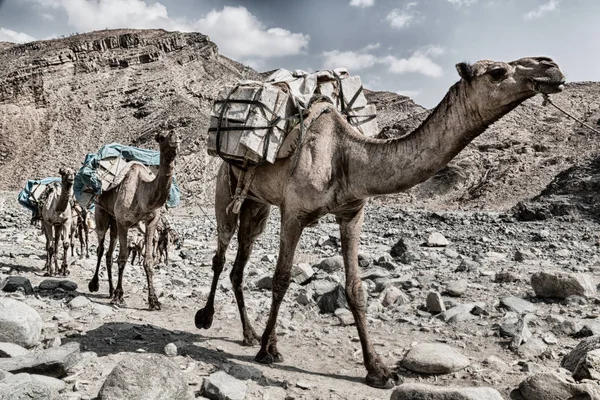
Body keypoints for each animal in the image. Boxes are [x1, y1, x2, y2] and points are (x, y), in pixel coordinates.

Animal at [88, 131, 179, 310]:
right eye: (162, 137)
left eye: (177, 134)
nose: (175, 139)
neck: (142, 193)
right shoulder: (123, 222)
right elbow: (122, 258)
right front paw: (119, 296)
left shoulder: (151, 222)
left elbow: (148, 260)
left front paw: (154, 300)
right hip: (102, 213)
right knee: (101, 248)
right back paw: (95, 285)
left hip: (114, 222)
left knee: (109, 253)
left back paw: (110, 290)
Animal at [197, 56, 568, 388]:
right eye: (497, 72)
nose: (551, 66)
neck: (345, 156)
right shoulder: (294, 213)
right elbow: (282, 279)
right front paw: (269, 350)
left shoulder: (352, 213)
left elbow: (356, 290)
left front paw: (379, 370)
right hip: (225, 189)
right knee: (221, 254)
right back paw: (207, 318)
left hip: (256, 205)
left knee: (239, 262)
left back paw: (248, 334)